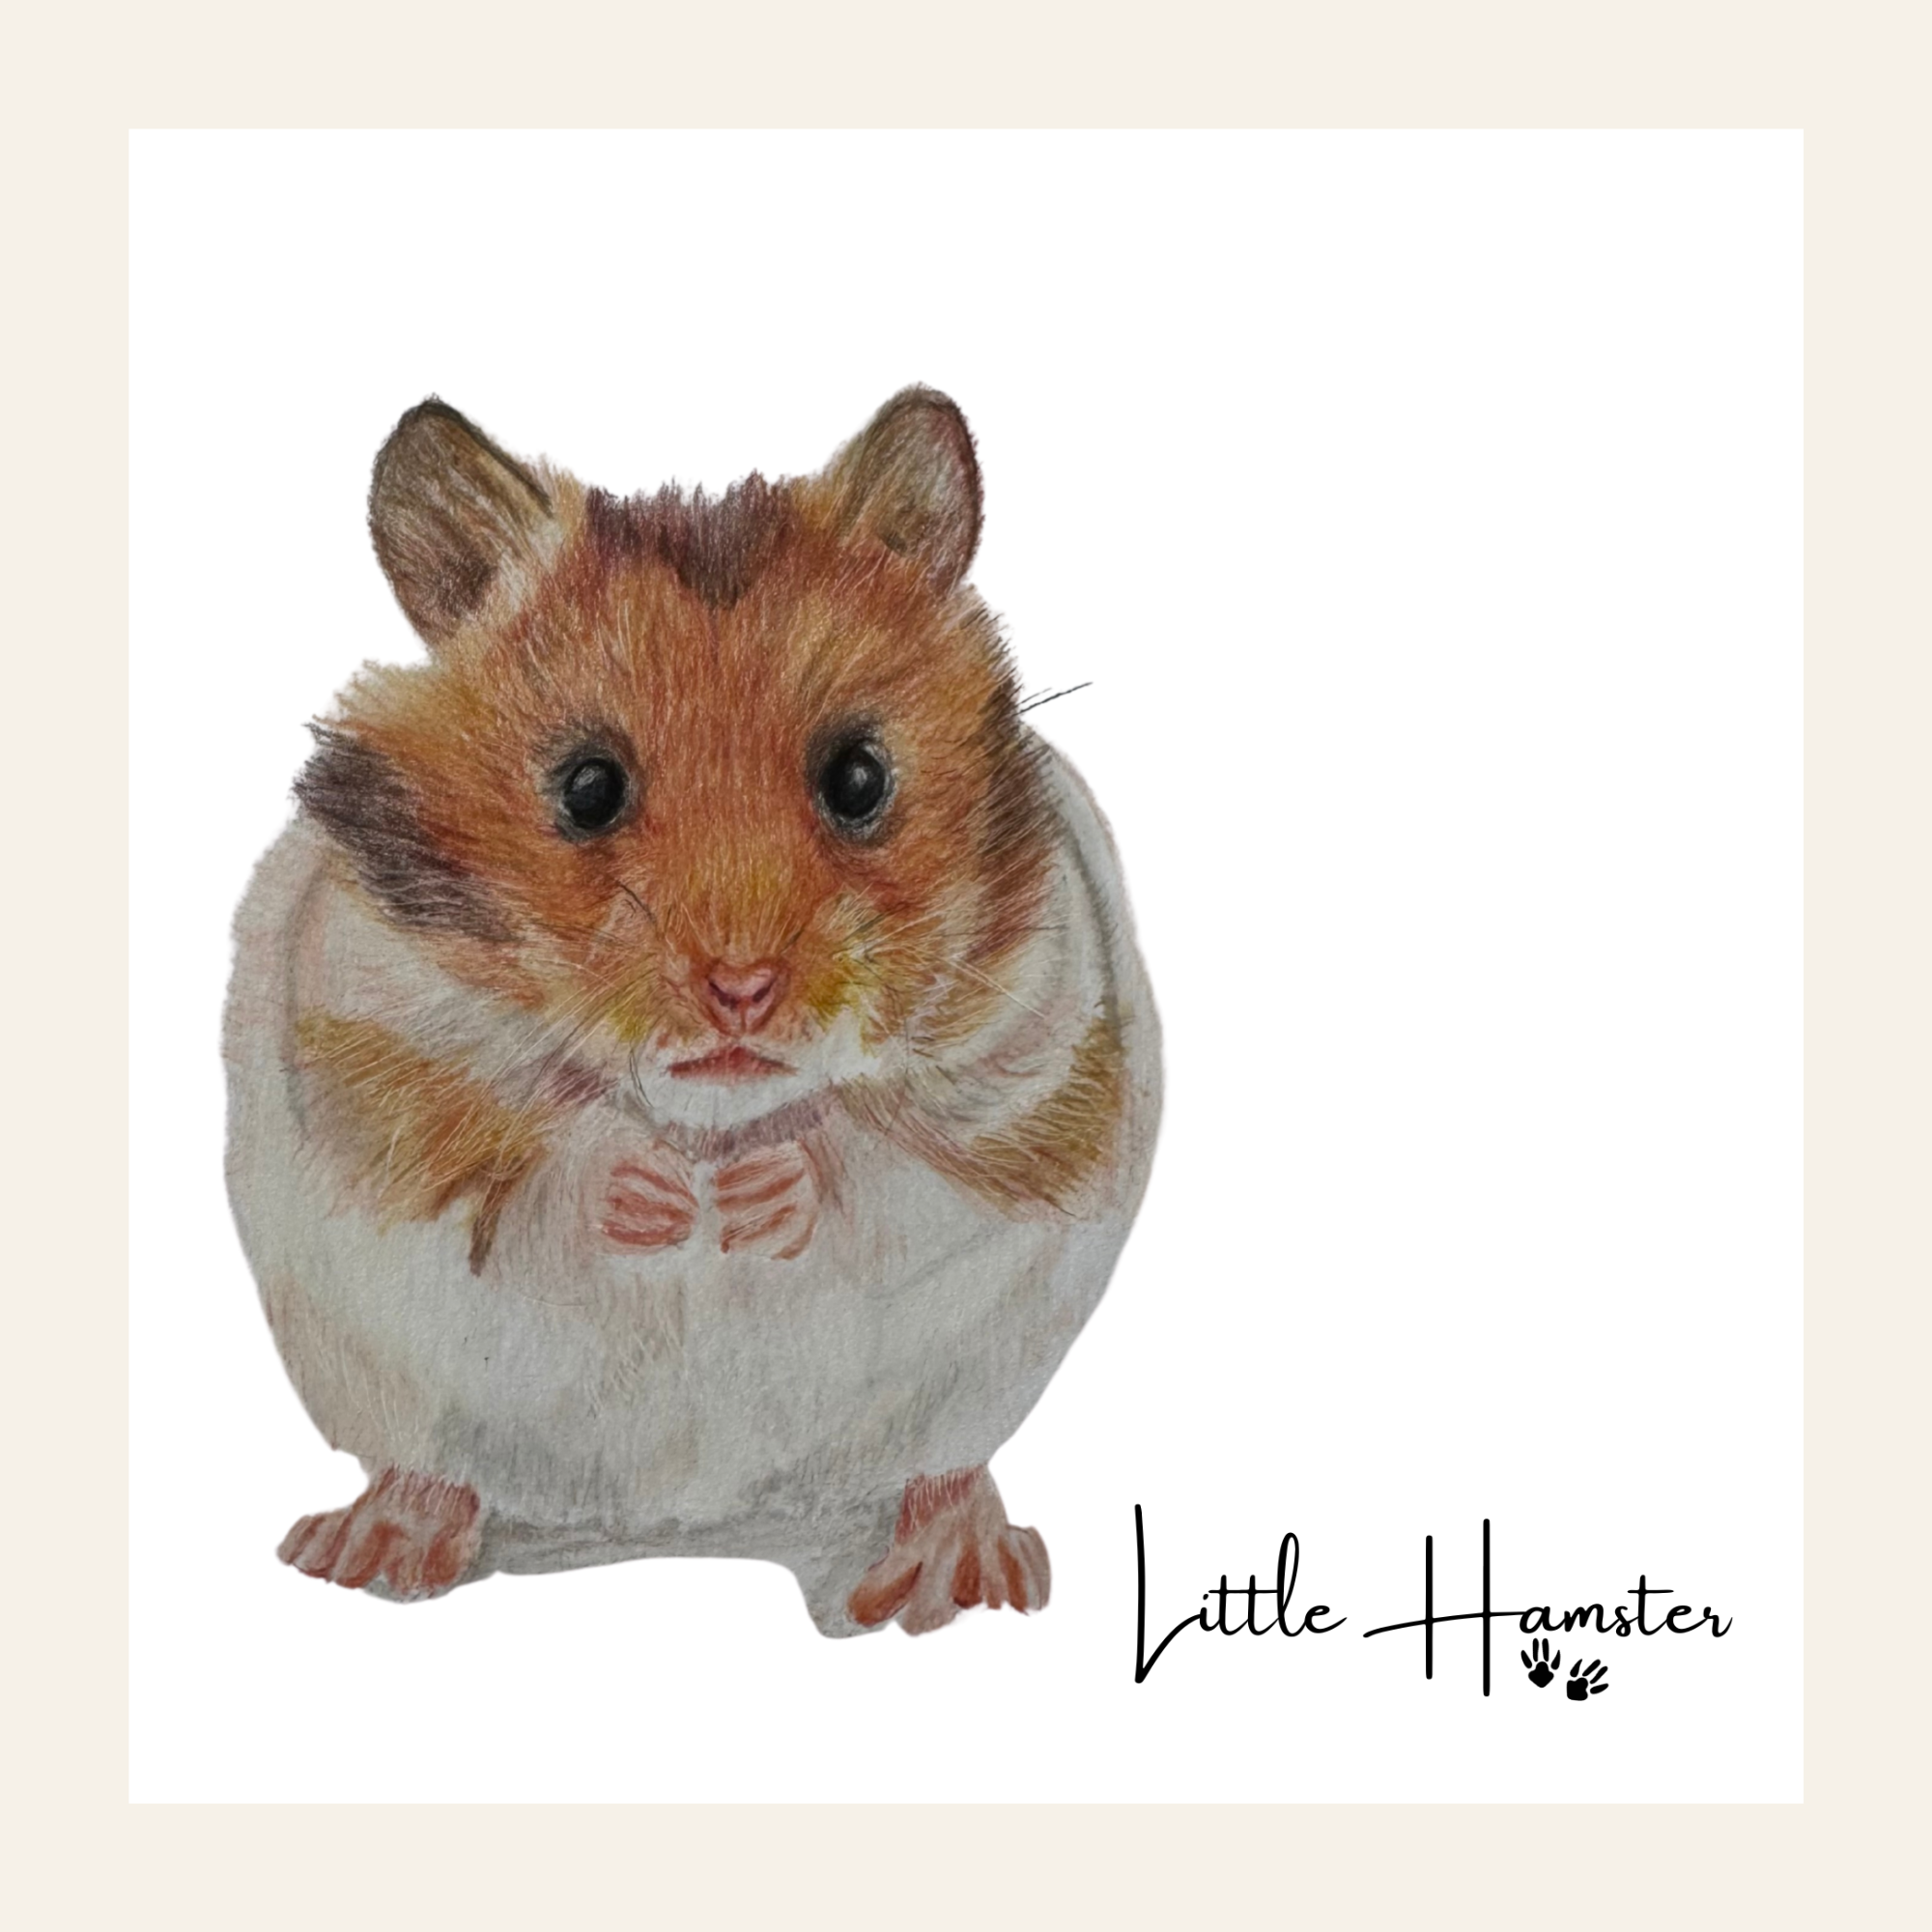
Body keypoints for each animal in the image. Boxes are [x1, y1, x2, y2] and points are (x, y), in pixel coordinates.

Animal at [223, 387, 1161, 1635]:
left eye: (859, 777)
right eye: (586, 788)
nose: (741, 988)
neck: (708, 1121)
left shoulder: (1043, 1054)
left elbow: (890, 1172)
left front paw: (757, 1196)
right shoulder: (360, 1042)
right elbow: (522, 1164)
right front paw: (655, 1195)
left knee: (942, 1468)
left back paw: (952, 1578)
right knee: (428, 1465)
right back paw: (367, 1548)